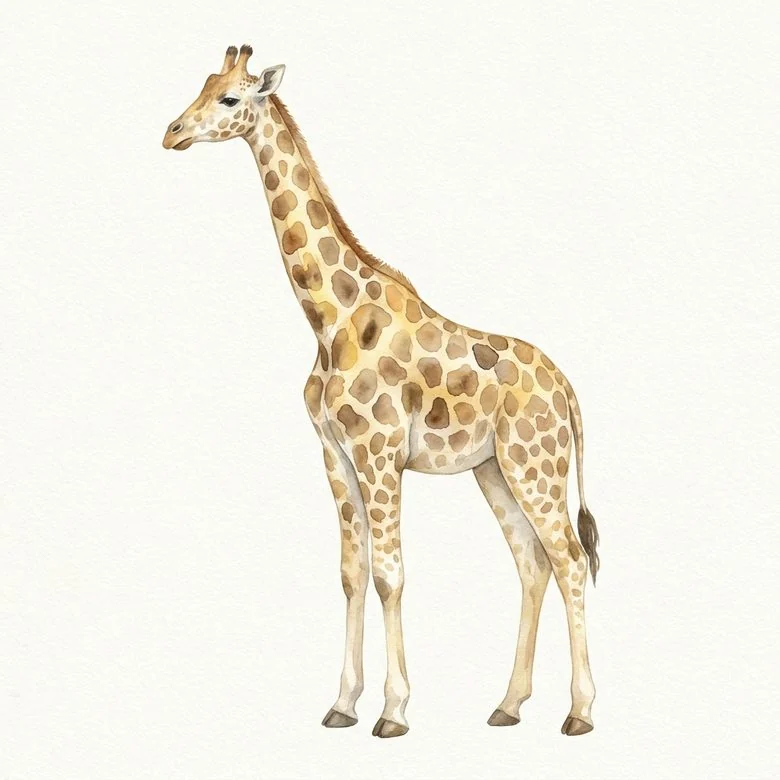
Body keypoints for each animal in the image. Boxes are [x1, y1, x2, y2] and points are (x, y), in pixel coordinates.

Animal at [163, 45, 601, 739]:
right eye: (202, 85)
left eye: (230, 98)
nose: (172, 132)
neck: (329, 319)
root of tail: (567, 389)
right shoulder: (335, 455)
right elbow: (352, 573)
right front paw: (342, 704)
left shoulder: (379, 454)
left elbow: (390, 576)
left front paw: (393, 712)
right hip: (495, 470)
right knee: (533, 565)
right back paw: (507, 705)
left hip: (537, 465)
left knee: (571, 561)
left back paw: (579, 712)